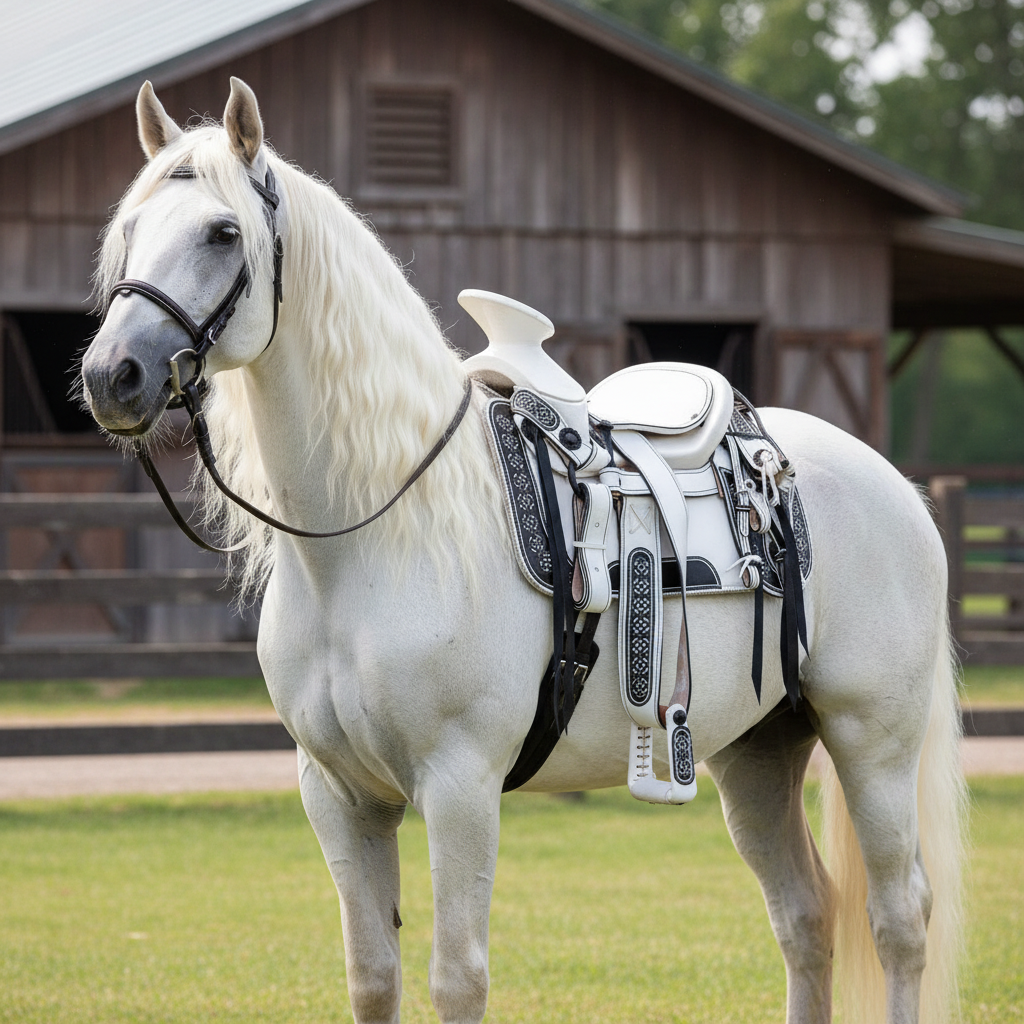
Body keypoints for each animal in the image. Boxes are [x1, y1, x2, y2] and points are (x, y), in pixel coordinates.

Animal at [81, 78, 967, 1024]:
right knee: (805, 917)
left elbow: (457, 979)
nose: (112, 376)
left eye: (222, 231)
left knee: (898, 919)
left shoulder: (460, 786)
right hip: (759, 751)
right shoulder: (339, 796)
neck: (377, 536)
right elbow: (374, 978)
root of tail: (893, 486)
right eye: (130, 228)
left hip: (872, 743)